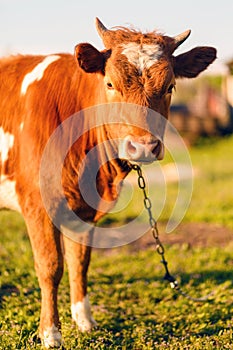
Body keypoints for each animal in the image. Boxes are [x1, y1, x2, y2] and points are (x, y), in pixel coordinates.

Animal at [0, 17, 217, 346]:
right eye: (111, 84)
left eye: (170, 86)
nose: (142, 147)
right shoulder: (38, 202)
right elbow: (50, 266)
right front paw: (51, 333)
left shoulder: (84, 210)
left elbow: (80, 262)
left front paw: (85, 321)